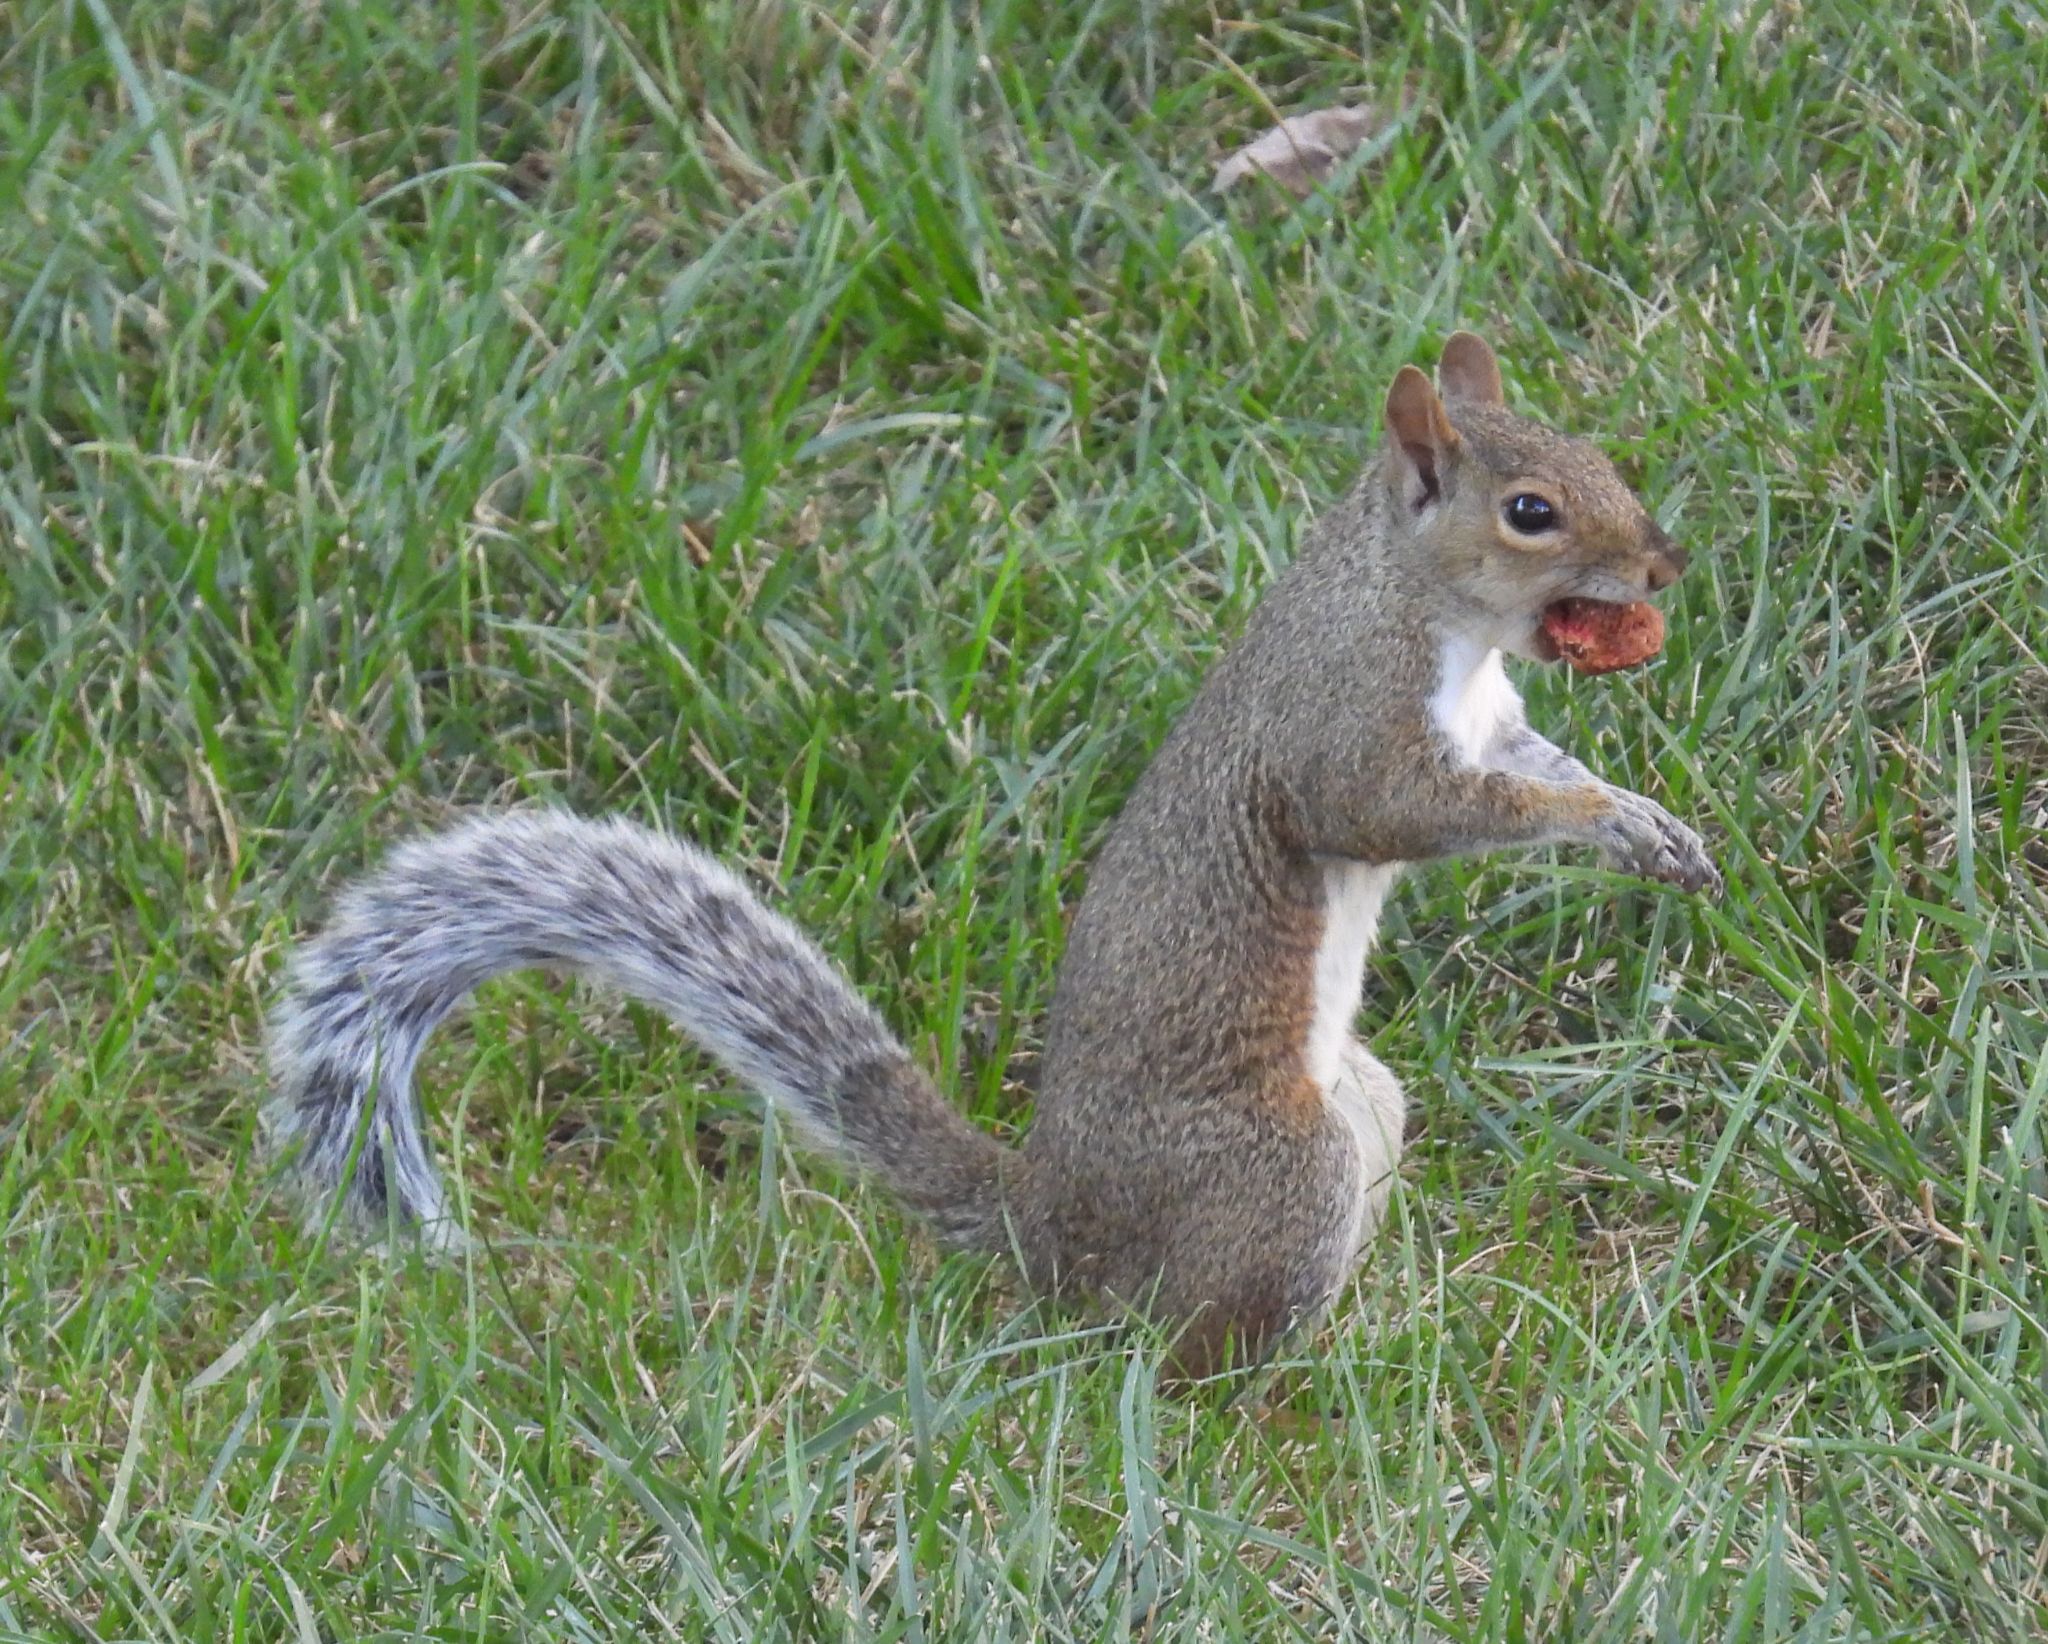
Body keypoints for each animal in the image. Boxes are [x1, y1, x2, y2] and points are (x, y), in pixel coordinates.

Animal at [264, 331, 1720, 1375]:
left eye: (1595, 454)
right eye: (1530, 509)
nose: (1665, 563)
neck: (1430, 614)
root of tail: (1048, 1228)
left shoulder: (1496, 722)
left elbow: (1537, 766)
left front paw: (1647, 825)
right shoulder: (1344, 730)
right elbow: (1409, 813)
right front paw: (1595, 827)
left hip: (1363, 1105)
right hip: (1275, 1164)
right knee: (1177, 1351)